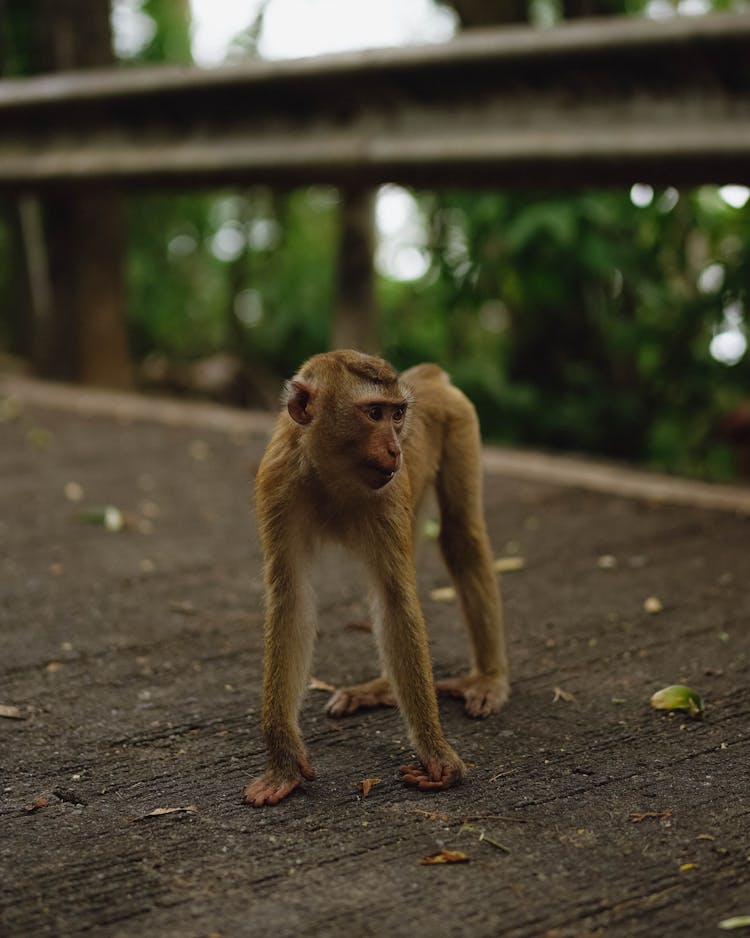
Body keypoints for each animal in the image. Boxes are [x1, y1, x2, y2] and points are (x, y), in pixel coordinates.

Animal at [244, 348, 508, 800]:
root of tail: (428, 376)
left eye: (397, 414)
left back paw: (488, 678)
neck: (329, 473)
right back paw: (382, 688)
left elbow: (394, 599)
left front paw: (436, 754)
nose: (395, 449)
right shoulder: (276, 482)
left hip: (460, 421)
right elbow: (291, 598)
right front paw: (284, 762)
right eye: (373, 413)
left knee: (462, 536)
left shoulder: (387, 493)